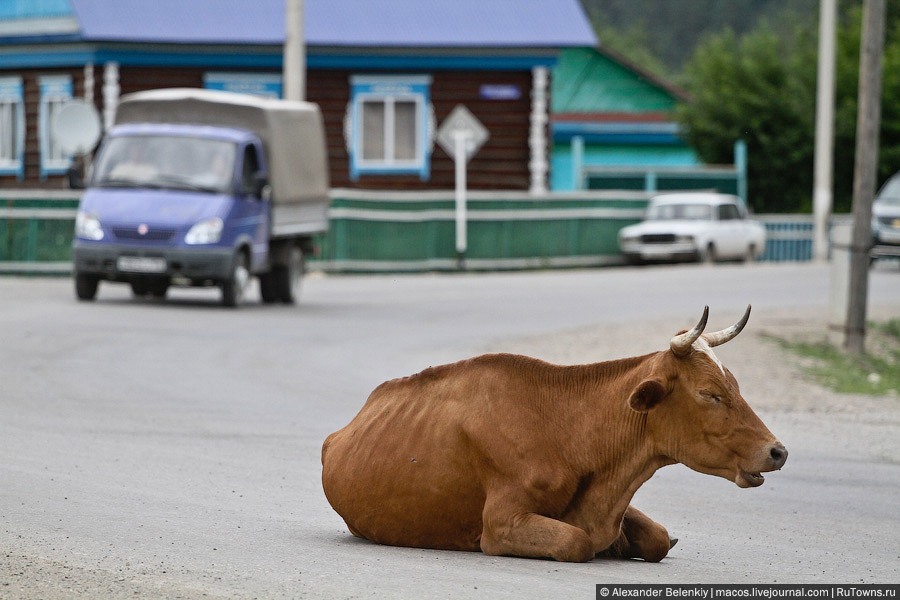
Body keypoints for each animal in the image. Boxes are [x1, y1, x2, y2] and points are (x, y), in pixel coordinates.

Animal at [320, 308, 784, 564]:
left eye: (736, 384)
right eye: (710, 393)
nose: (777, 451)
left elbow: (656, 539)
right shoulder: (500, 524)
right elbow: (577, 542)